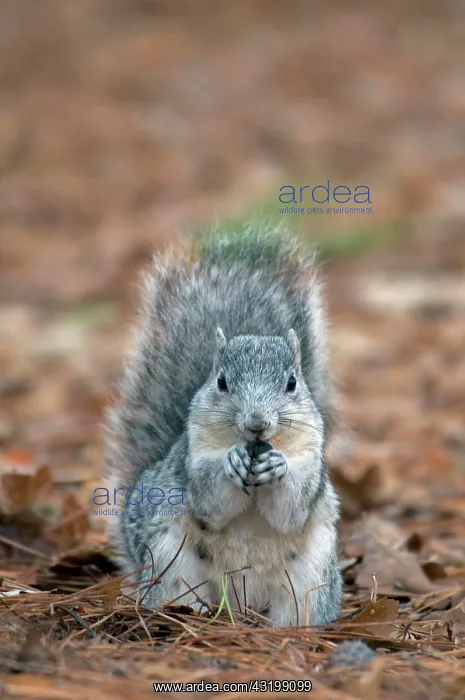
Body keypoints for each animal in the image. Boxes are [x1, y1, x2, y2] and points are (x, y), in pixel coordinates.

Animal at [105, 221, 342, 626]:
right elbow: (210, 502)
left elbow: (291, 511)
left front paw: (278, 467)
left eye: (291, 383)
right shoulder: (192, 459)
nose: (257, 422)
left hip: (309, 578)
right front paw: (230, 462)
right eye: (221, 382)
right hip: (170, 559)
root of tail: (244, 605)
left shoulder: (313, 463)